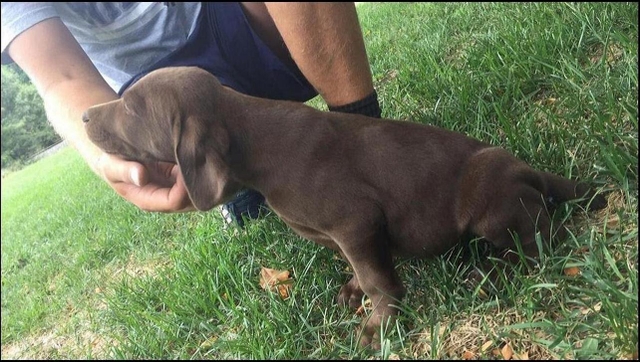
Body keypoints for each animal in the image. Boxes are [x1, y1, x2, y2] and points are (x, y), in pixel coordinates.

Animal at [84, 66, 604, 346]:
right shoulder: (345, 236)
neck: (258, 143)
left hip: (489, 201)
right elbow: (359, 267)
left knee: (541, 235)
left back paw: (494, 270)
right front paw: (354, 291)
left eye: (131, 109)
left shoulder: (356, 222)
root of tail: (529, 170)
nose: (85, 116)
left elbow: (377, 277)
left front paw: (381, 325)